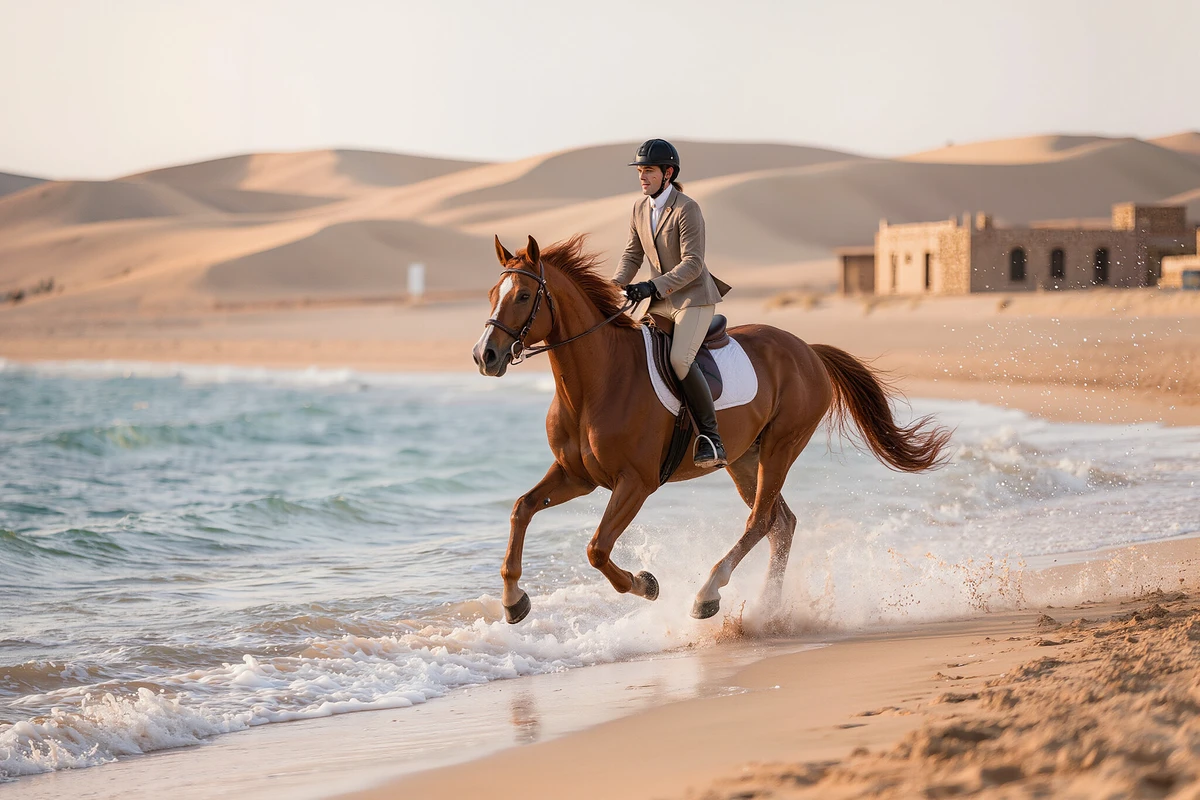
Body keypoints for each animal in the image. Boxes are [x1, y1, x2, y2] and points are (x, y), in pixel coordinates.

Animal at [472, 234, 952, 624]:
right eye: (493, 293)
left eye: (523, 295)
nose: (485, 356)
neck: (595, 384)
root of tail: (807, 350)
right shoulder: (577, 476)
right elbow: (521, 509)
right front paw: (514, 601)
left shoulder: (635, 483)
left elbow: (597, 549)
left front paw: (647, 584)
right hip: (743, 459)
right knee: (781, 523)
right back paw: (767, 609)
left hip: (780, 448)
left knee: (761, 520)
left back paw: (708, 594)